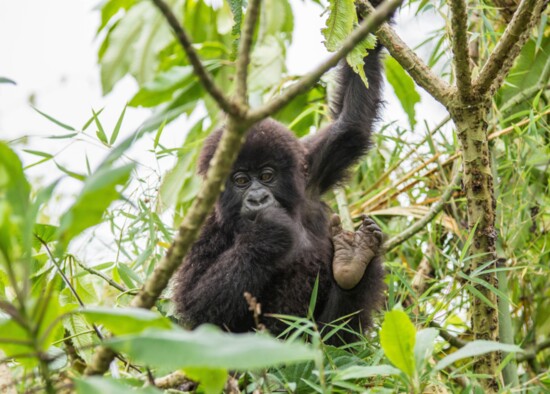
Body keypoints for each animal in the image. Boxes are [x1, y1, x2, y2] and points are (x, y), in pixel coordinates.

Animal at [175, 16, 386, 342]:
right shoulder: (206, 229)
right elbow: (196, 309)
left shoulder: (308, 172)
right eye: (240, 181)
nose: (258, 198)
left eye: (266, 176)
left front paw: (370, 15)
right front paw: (267, 232)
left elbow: (350, 126)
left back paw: (352, 265)